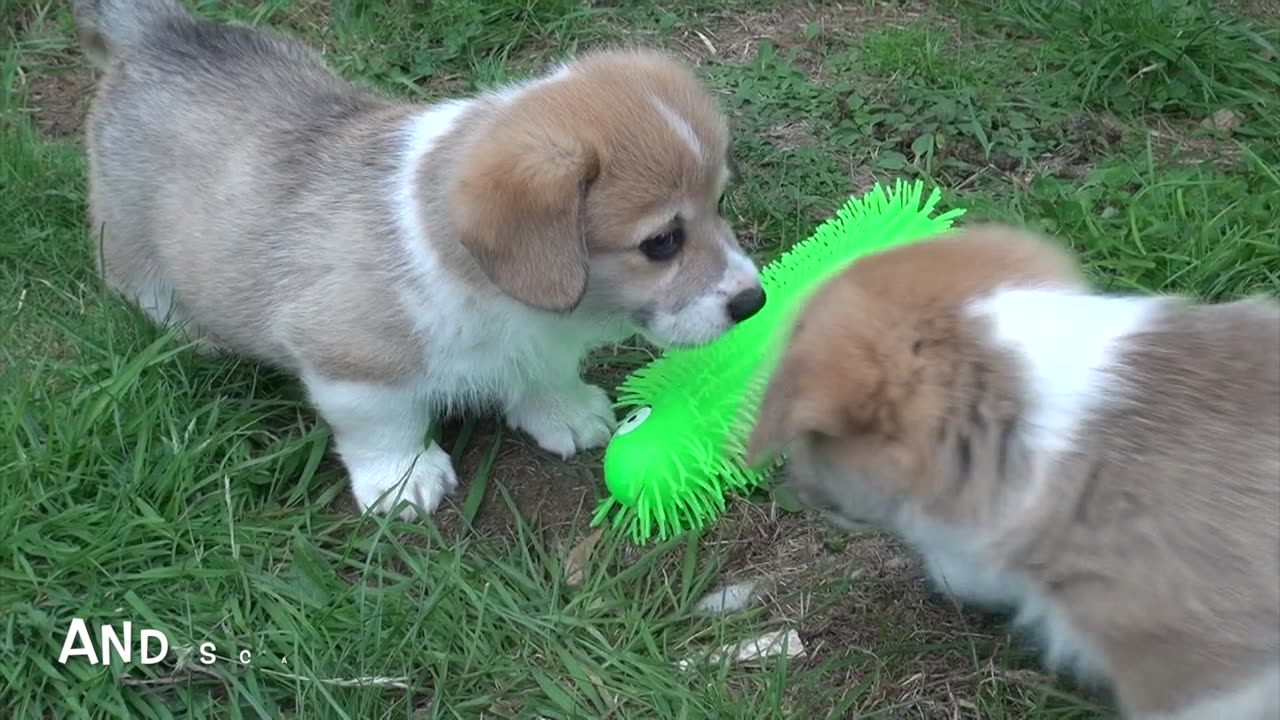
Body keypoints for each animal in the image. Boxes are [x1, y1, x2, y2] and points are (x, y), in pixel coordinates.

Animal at [72, 0, 768, 515]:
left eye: (720, 202)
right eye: (662, 242)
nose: (755, 301)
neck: (497, 293)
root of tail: (160, 29)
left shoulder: (538, 343)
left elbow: (544, 375)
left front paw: (565, 414)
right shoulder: (351, 365)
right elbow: (383, 427)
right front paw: (403, 480)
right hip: (125, 232)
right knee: (137, 283)